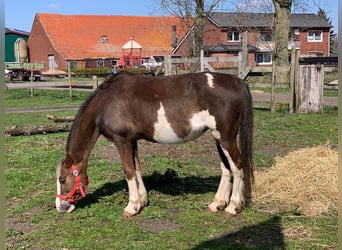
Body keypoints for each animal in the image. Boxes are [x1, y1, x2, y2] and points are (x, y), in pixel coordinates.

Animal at [55, 71, 254, 217]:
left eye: (62, 179)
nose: (60, 207)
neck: (107, 102)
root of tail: (237, 82)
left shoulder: (122, 140)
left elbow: (128, 171)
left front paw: (132, 206)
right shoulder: (132, 140)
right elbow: (137, 168)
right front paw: (142, 201)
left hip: (226, 138)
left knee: (238, 167)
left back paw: (233, 206)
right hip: (217, 137)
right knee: (226, 168)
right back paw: (217, 203)